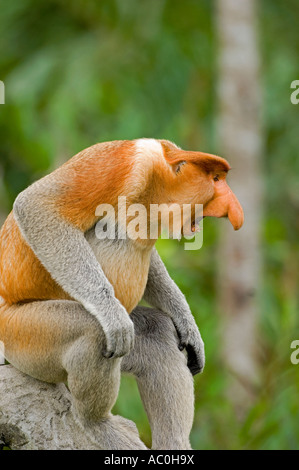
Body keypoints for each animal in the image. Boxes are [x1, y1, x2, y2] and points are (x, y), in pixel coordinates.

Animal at [0, 139, 245, 448]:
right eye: (216, 179)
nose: (235, 211)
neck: (157, 178)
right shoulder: (118, 164)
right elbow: (36, 205)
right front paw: (112, 316)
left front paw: (188, 325)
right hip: (22, 334)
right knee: (92, 331)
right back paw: (97, 423)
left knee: (157, 333)